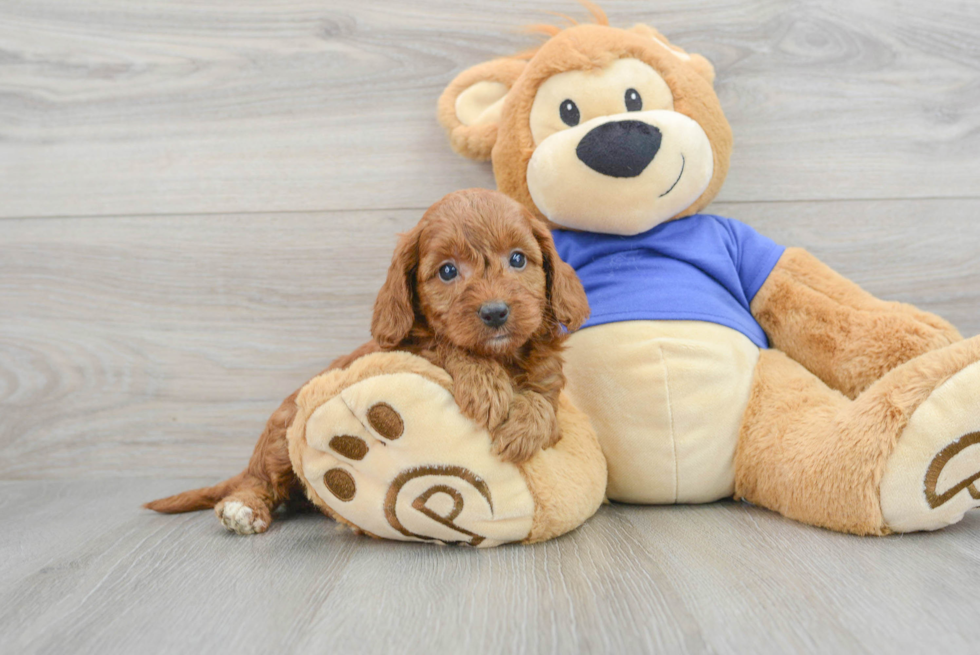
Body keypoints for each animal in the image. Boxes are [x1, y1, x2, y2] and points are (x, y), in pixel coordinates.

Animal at [144, 188, 588, 532]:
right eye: (447, 271)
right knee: (261, 481)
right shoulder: (406, 347)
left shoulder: (551, 388)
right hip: (281, 434)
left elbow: (544, 407)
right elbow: (445, 345)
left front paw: (523, 427)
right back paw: (244, 508)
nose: (495, 312)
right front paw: (486, 384)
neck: (504, 355)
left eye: (518, 259)